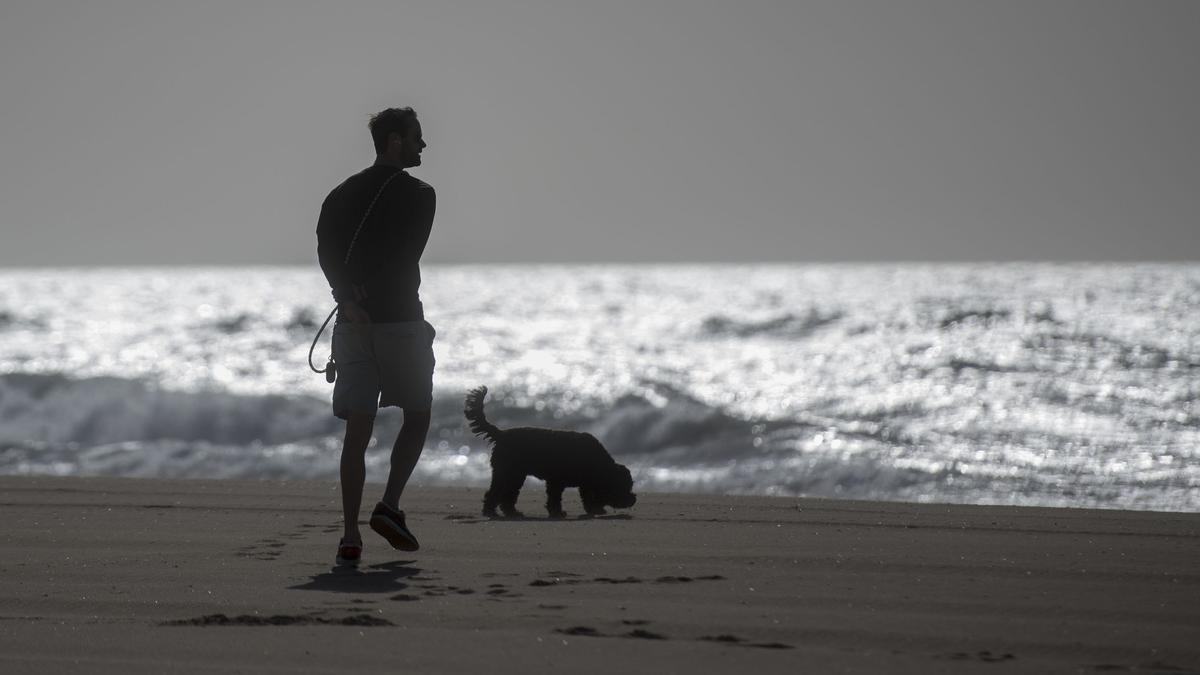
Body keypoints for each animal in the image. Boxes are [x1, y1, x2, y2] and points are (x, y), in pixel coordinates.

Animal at [463, 384, 638, 514]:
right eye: (624, 487)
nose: (633, 499)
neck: (598, 462)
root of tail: (501, 434)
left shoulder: (584, 483)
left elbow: (587, 496)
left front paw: (594, 510)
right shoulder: (556, 481)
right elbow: (555, 498)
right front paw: (558, 513)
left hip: (514, 475)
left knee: (507, 494)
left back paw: (510, 512)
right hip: (507, 472)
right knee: (496, 492)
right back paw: (491, 512)